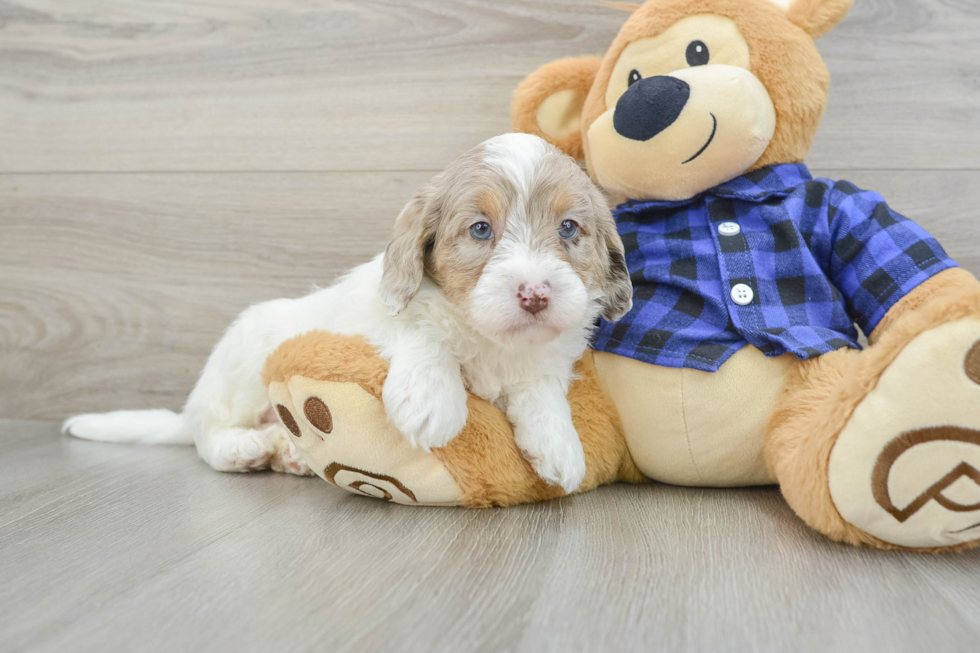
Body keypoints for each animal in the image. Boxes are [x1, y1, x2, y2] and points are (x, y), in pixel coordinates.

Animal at [69, 134, 636, 488]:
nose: (536, 294)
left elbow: (541, 391)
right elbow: (422, 332)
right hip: (242, 367)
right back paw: (243, 448)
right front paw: (434, 401)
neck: (488, 339)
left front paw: (560, 447)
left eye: (569, 228)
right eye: (480, 229)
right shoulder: (377, 316)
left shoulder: (542, 362)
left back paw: (287, 450)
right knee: (208, 433)